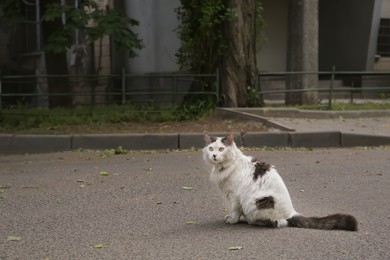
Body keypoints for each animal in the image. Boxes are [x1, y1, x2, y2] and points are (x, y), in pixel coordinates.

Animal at [203, 131, 358, 231]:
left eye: (221, 149)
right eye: (210, 148)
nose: (214, 155)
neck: (223, 167)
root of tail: (292, 212)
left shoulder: (235, 196)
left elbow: (234, 210)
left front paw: (232, 220)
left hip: (256, 201)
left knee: (278, 223)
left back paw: (251, 220)